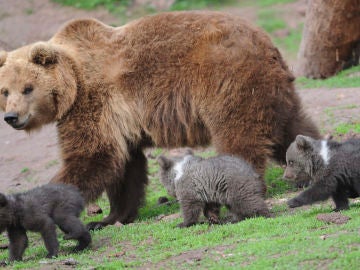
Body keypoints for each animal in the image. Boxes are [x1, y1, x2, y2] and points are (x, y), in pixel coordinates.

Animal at [0, 11, 320, 229]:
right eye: (5, 90)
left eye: (27, 88)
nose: (11, 117)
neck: (73, 84)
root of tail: (265, 42)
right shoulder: (117, 121)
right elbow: (124, 169)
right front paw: (110, 217)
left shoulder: (93, 103)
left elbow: (92, 157)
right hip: (273, 92)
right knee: (292, 129)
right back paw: (310, 171)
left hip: (228, 82)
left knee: (239, 137)